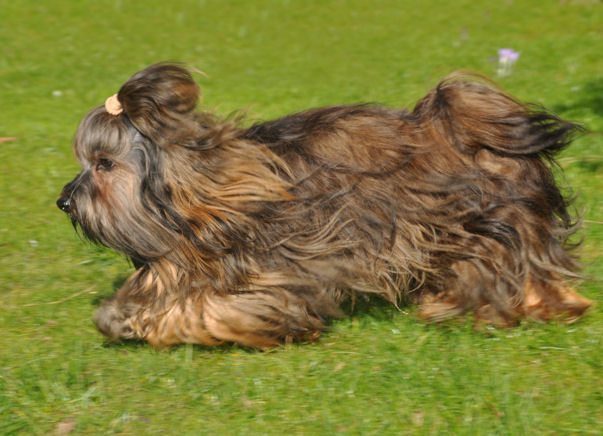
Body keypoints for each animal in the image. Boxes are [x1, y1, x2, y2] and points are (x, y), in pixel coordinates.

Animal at [59, 63, 592, 350]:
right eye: (88, 161)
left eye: (104, 164)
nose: (64, 200)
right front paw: (119, 316)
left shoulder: (274, 270)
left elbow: (212, 309)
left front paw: (150, 322)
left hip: (493, 225)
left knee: (519, 271)